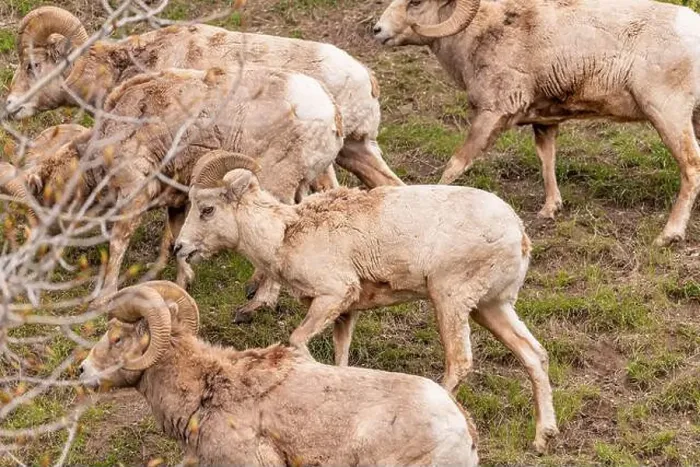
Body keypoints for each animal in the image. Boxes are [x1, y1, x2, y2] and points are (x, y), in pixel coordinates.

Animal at [0, 66, 344, 314]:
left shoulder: (133, 194)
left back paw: (258, 303)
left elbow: (118, 244)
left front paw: (102, 299)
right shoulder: (176, 201)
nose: (33, 251)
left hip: (278, 183)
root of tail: (331, 113)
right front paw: (183, 282)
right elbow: (179, 240)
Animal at [173, 151, 559, 453]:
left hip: (450, 300)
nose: (180, 247)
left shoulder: (332, 296)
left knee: (460, 363)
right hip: (490, 307)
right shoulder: (345, 314)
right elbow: (341, 361)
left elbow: (298, 341)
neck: (284, 236)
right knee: (534, 355)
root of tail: (518, 233)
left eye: (207, 209)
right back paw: (542, 439)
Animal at [373, 0, 700, 246]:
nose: (377, 30)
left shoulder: (490, 116)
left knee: (691, 166)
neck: (482, 33)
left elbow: (455, 165)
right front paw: (549, 210)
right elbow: (547, 161)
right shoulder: (544, 124)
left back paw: (668, 235)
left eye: (416, 3)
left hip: (668, 116)